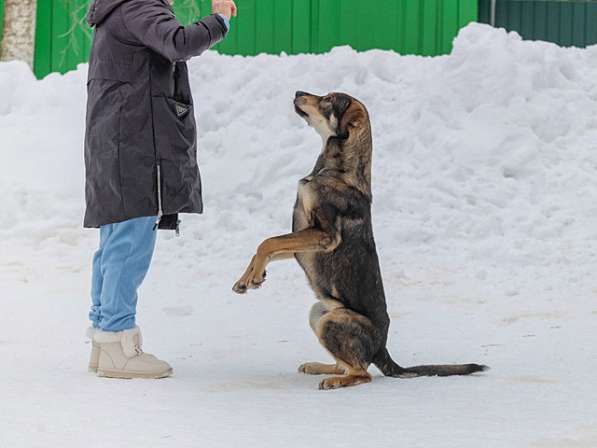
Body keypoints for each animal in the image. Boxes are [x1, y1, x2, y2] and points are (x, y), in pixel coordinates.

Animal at [230, 91, 486, 388]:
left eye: (328, 99)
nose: (297, 93)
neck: (336, 170)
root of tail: (381, 349)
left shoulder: (325, 235)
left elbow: (268, 242)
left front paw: (252, 277)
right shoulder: (302, 238)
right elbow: (266, 246)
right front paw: (248, 279)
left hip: (333, 320)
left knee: (362, 373)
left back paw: (334, 381)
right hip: (319, 312)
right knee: (347, 365)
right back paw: (320, 367)